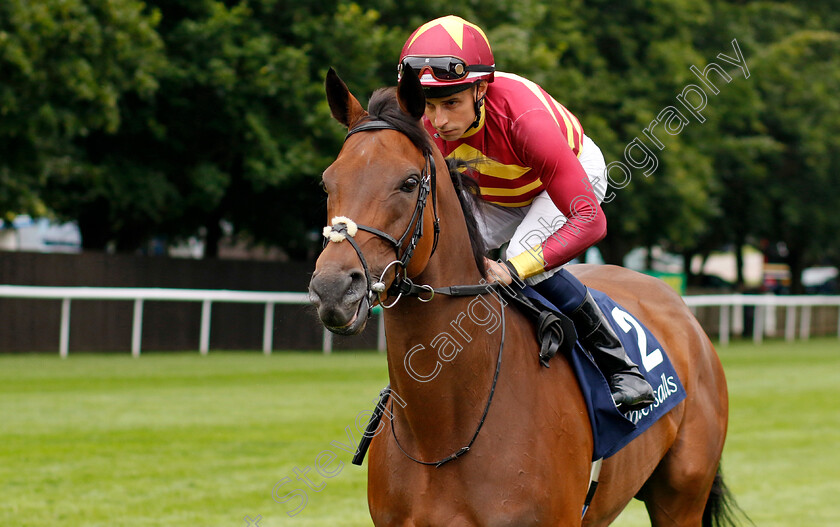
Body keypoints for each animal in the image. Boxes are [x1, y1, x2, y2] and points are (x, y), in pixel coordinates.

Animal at [308, 68, 736, 524]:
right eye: (327, 182)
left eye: (408, 183)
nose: (334, 289)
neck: (444, 429)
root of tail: (679, 307)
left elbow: (587, 218)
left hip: (682, 494)